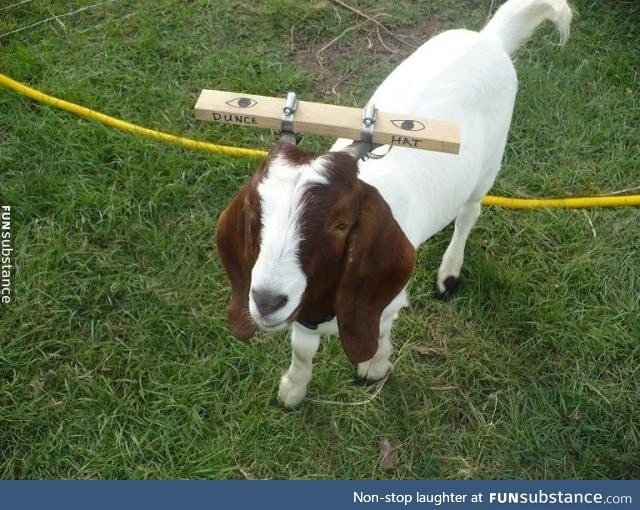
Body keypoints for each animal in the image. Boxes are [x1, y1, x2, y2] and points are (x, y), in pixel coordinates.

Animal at [218, 0, 572, 406]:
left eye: (341, 223)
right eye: (257, 212)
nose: (266, 300)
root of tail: (490, 39)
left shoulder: (381, 301)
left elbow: (381, 333)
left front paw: (373, 368)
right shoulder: (305, 307)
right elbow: (303, 348)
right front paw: (293, 390)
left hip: (488, 167)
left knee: (469, 214)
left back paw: (449, 274)